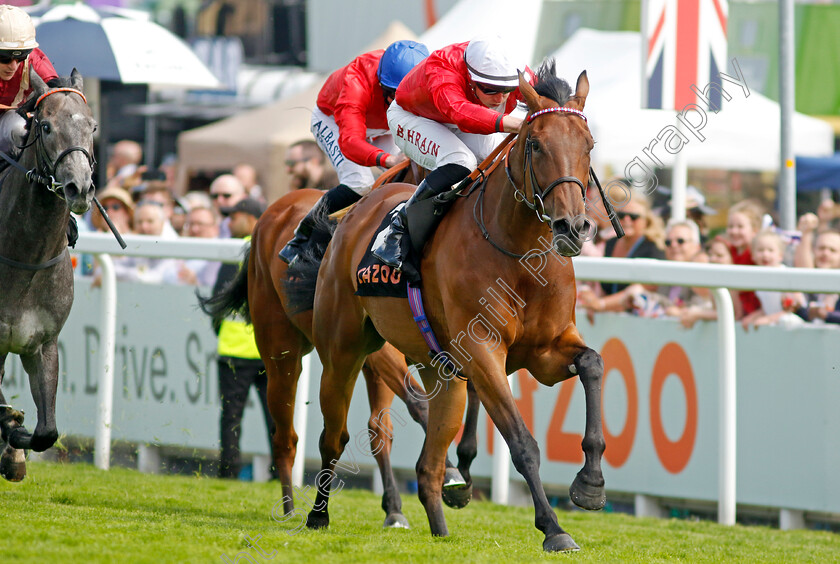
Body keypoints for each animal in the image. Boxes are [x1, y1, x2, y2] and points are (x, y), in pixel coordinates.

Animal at [197, 189, 472, 528]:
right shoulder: (379, 352)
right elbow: (420, 402)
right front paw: (452, 476)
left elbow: (387, 424)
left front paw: (403, 503)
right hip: (281, 351)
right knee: (284, 434)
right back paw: (289, 508)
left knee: (374, 428)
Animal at [288, 61, 604, 552]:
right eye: (535, 143)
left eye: (588, 145)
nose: (573, 226)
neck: (517, 252)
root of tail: (356, 214)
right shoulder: (482, 351)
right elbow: (522, 442)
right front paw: (554, 528)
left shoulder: (547, 350)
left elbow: (592, 364)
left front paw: (589, 484)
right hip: (343, 350)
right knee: (333, 436)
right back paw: (318, 516)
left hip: (441, 371)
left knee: (428, 466)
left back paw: (439, 526)